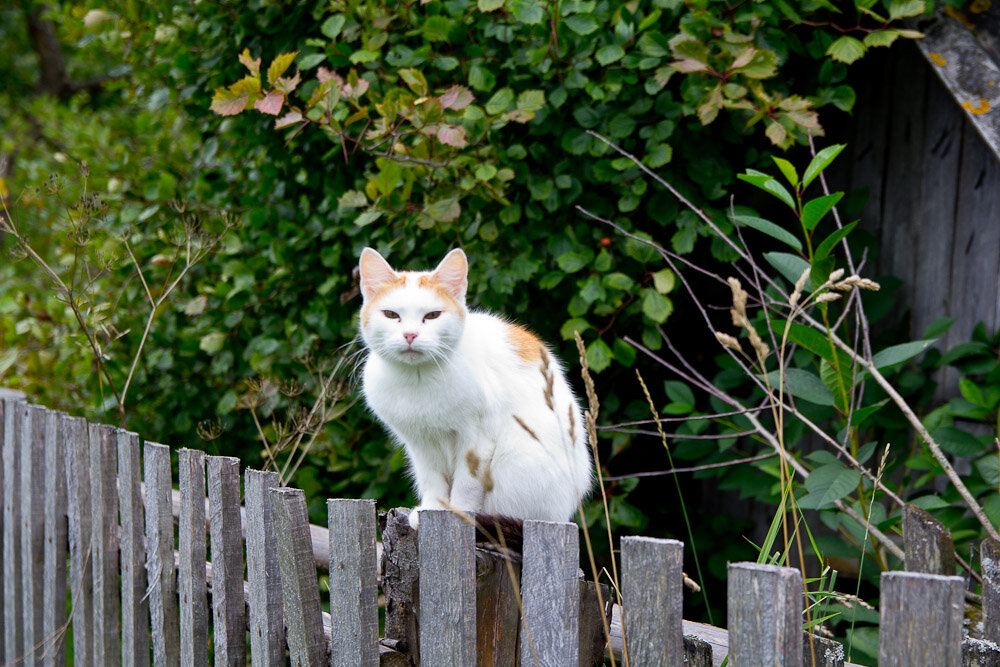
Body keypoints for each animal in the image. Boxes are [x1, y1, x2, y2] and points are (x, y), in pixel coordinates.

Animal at [360, 247, 592, 532]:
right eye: (391, 315)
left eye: (432, 315)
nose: (410, 335)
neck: (417, 379)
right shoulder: (420, 444)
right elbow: (432, 480)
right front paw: (432, 508)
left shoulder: (477, 440)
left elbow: (466, 484)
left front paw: (458, 512)